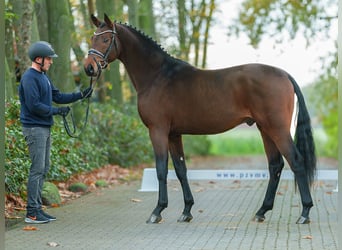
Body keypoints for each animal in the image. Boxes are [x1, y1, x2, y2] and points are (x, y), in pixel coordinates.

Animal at [84, 13, 316, 225]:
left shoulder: (157, 130)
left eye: (106, 39)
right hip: (264, 129)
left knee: (296, 161)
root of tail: (284, 74)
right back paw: (262, 211)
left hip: (277, 129)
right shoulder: (173, 134)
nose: (89, 67)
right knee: (275, 166)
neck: (158, 75)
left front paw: (157, 211)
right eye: (92, 38)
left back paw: (304, 213)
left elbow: (161, 169)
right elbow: (180, 170)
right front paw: (186, 211)